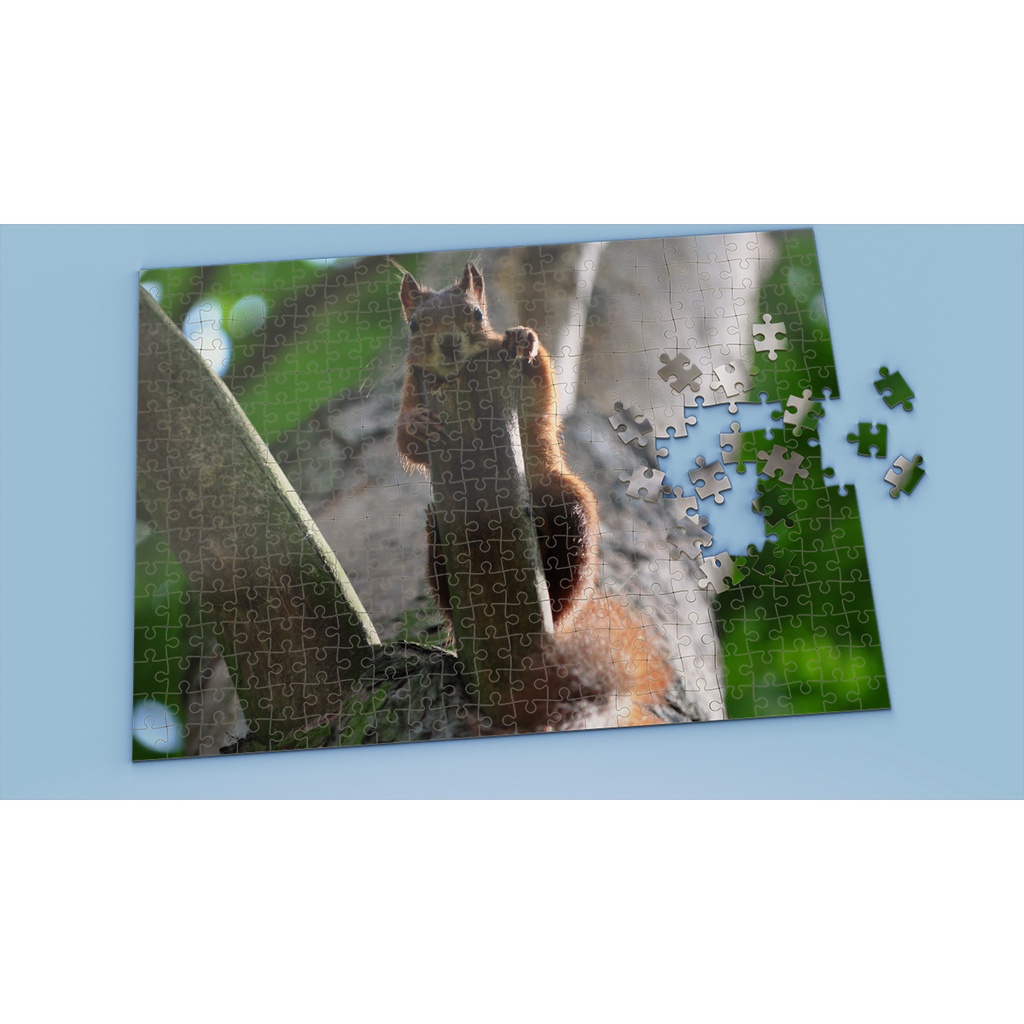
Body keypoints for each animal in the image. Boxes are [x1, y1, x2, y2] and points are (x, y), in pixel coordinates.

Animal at [396, 262, 675, 729]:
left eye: (476, 313)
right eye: (414, 324)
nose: (449, 346)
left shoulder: (524, 385)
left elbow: (541, 385)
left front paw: (521, 337)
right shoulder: (413, 384)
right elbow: (406, 441)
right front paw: (417, 426)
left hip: (567, 504)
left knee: (566, 583)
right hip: (437, 533)